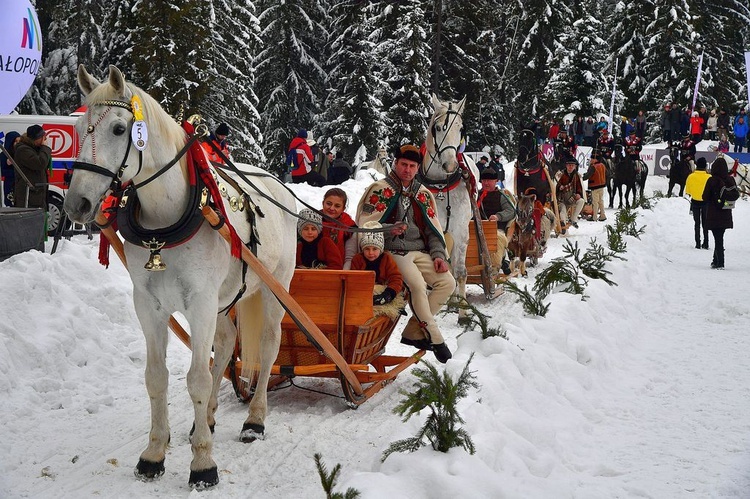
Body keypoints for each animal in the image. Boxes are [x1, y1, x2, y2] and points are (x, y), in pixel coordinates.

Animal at [63, 64, 296, 490]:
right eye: (77, 129)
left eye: (119, 129)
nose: (77, 203)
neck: (165, 221)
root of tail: (277, 185)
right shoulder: (149, 305)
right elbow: (157, 377)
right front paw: (154, 453)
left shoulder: (200, 303)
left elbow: (197, 379)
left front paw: (203, 463)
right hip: (224, 300)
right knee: (226, 343)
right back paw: (207, 418)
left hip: (274, 288)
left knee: (269, 345)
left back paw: (254, 420)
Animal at [424, 95, 482, 318]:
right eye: (439, 127)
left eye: (460, 128)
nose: (450, 165)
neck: (442, 186)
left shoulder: (460, 230)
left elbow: (460, 272)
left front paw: (463, 313)